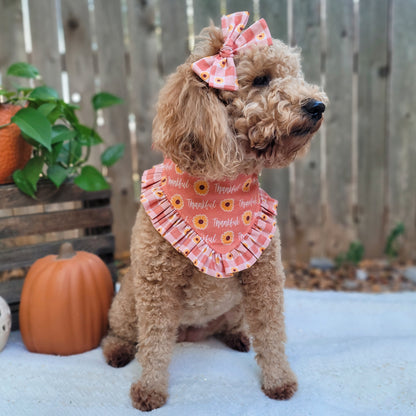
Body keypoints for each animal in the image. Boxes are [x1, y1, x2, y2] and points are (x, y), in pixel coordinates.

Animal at [102, 11, 326, 412]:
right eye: (261, 80)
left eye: (294, 75)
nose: (317, 106)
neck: (222, 189)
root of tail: (191, 332)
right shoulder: (157, 287)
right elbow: (154, 344)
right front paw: (150, 390)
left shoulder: (265, 280)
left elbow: (271, 333)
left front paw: (278, 381)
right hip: (127, 303)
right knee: (122, 334)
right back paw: (118, 351)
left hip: (235, 305)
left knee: (233, 326)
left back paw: (236, 337)